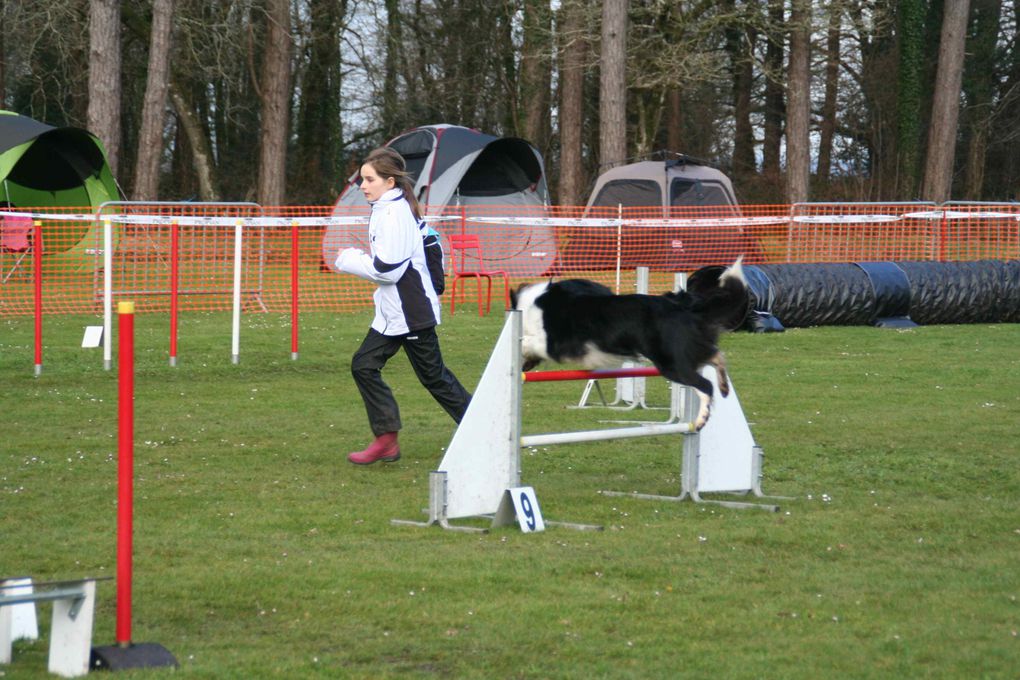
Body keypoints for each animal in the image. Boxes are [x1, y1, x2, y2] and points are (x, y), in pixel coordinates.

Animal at [510, 260, 750, 430]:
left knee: (705, 386)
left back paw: (700, 420)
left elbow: (528, 340)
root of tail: (682, 304)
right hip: (686, 352)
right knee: (716, 356)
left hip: (671, 364)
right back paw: (724, 387)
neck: (529, 304)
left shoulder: (555, 343)